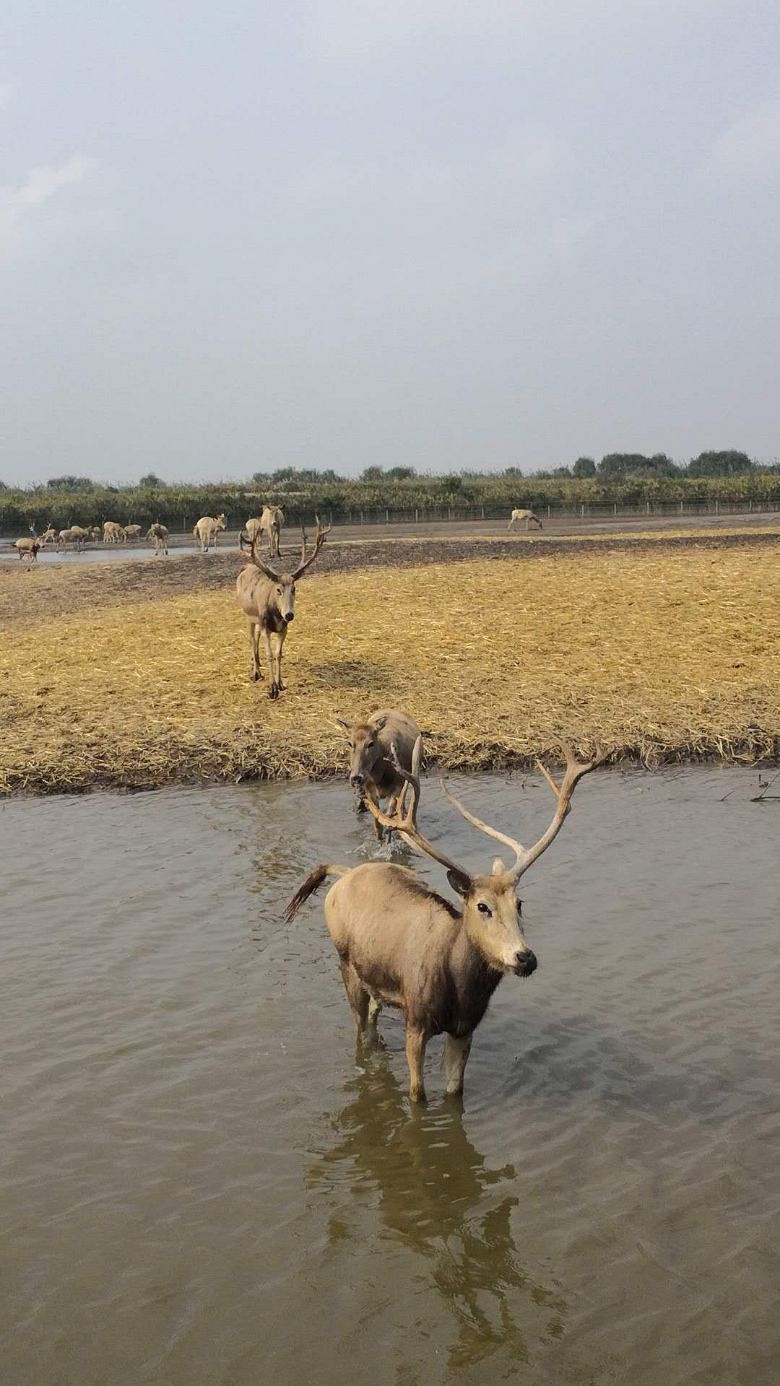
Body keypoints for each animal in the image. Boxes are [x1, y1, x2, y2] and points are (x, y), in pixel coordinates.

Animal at [231, 518, 329, 698]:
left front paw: (281, 684)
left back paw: (257, 663)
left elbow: (279, 654)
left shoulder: (283, 628)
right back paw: (255, 672)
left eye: (294, 589)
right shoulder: (265, 625)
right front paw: (272, 688)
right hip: (248, 616)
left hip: (257, 620)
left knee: (255, 639)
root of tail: (245, 567)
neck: (276, 616)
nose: (289, 614)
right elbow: (270, 654)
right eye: (278, 590)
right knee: (251, 639)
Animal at [289, 742, 601, 1097]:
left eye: (519, 903)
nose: (525, 957)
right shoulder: (415, 1021)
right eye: (482, 906)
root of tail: (342, 874)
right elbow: (417, 1094)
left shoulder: (465, 1029)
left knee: (372, 1018)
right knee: (360, 1029)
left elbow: (456, 1092)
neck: (460, 990)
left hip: (375, 982)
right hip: (347, 965)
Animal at [335, 709, 421, 837]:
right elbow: (377, 823)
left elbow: (388, 815)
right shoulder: (369, 789)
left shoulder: (398, 784)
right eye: (349, 743)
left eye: (370, 743)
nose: (356, 777)